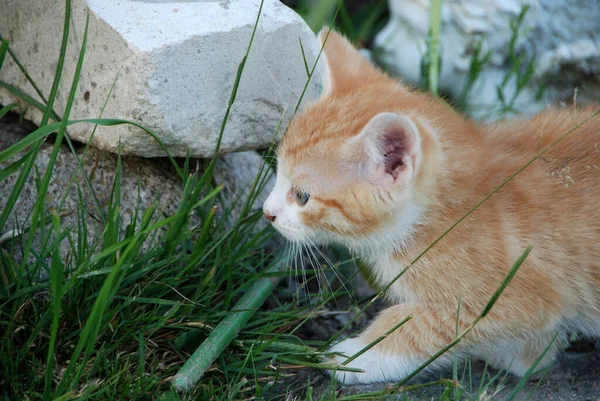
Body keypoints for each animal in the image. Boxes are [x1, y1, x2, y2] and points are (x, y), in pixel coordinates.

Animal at [264, 29, 600, 382]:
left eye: (302, 196)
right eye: (279, 173)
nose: (266, 212)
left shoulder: (521, 298)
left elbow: (415, 323)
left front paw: (356, 356)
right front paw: (528, 356)